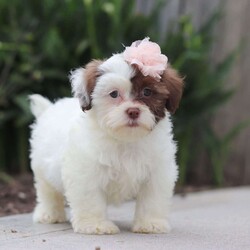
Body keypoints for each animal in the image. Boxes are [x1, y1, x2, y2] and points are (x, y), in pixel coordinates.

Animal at [29, 37, 184, 234]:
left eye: (147, 92)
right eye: (114, 94)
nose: (133, 111)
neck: (126, 139)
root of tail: (49, 108)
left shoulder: (157, 171)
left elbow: (152, 198)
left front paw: (150, 223)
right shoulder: (85, 171)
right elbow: (90, 199)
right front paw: (96, 225)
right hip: (42, 167)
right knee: (47, 190)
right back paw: (50, 214)